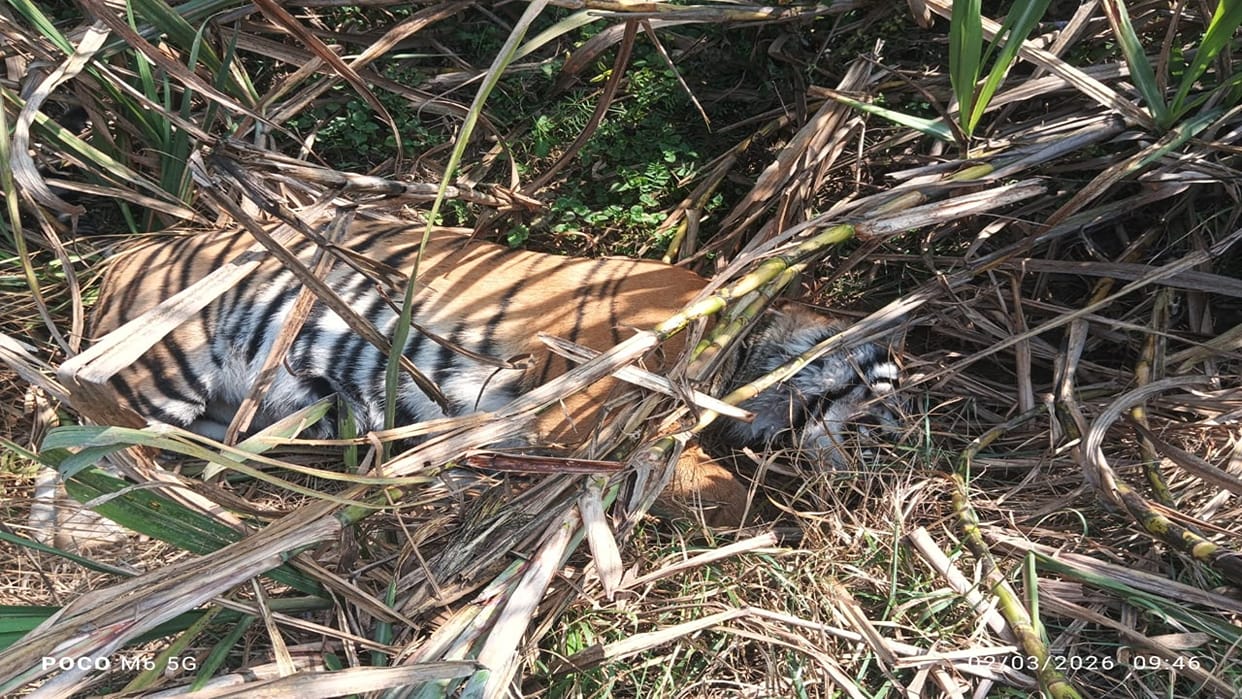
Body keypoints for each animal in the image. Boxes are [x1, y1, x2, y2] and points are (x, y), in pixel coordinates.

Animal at [85, 219, 900, 524]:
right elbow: (695, 478)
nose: (873, 463)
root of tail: (122, 254)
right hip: (160, 371)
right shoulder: (590, 393)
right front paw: (762, 519)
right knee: (91, 451)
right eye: (880, 400)